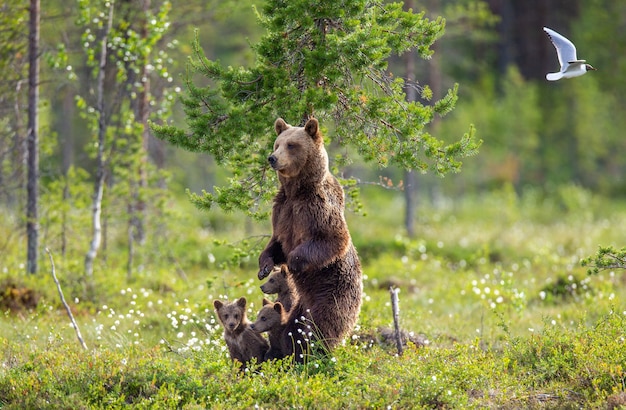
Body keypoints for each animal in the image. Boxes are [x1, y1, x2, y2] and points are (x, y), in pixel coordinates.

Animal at [256, 117, 360, 360]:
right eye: (277, 143)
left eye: (292, 145)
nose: (272, 158)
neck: (297, 191)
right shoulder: (282, 210)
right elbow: (276, 244)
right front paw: (264, 267)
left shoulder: (317, 209)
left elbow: (331, 240)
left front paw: (294, 263)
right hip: (299, 309)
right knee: (292, 330)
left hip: (331, 295)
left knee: (322, 326)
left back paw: (314, 352)